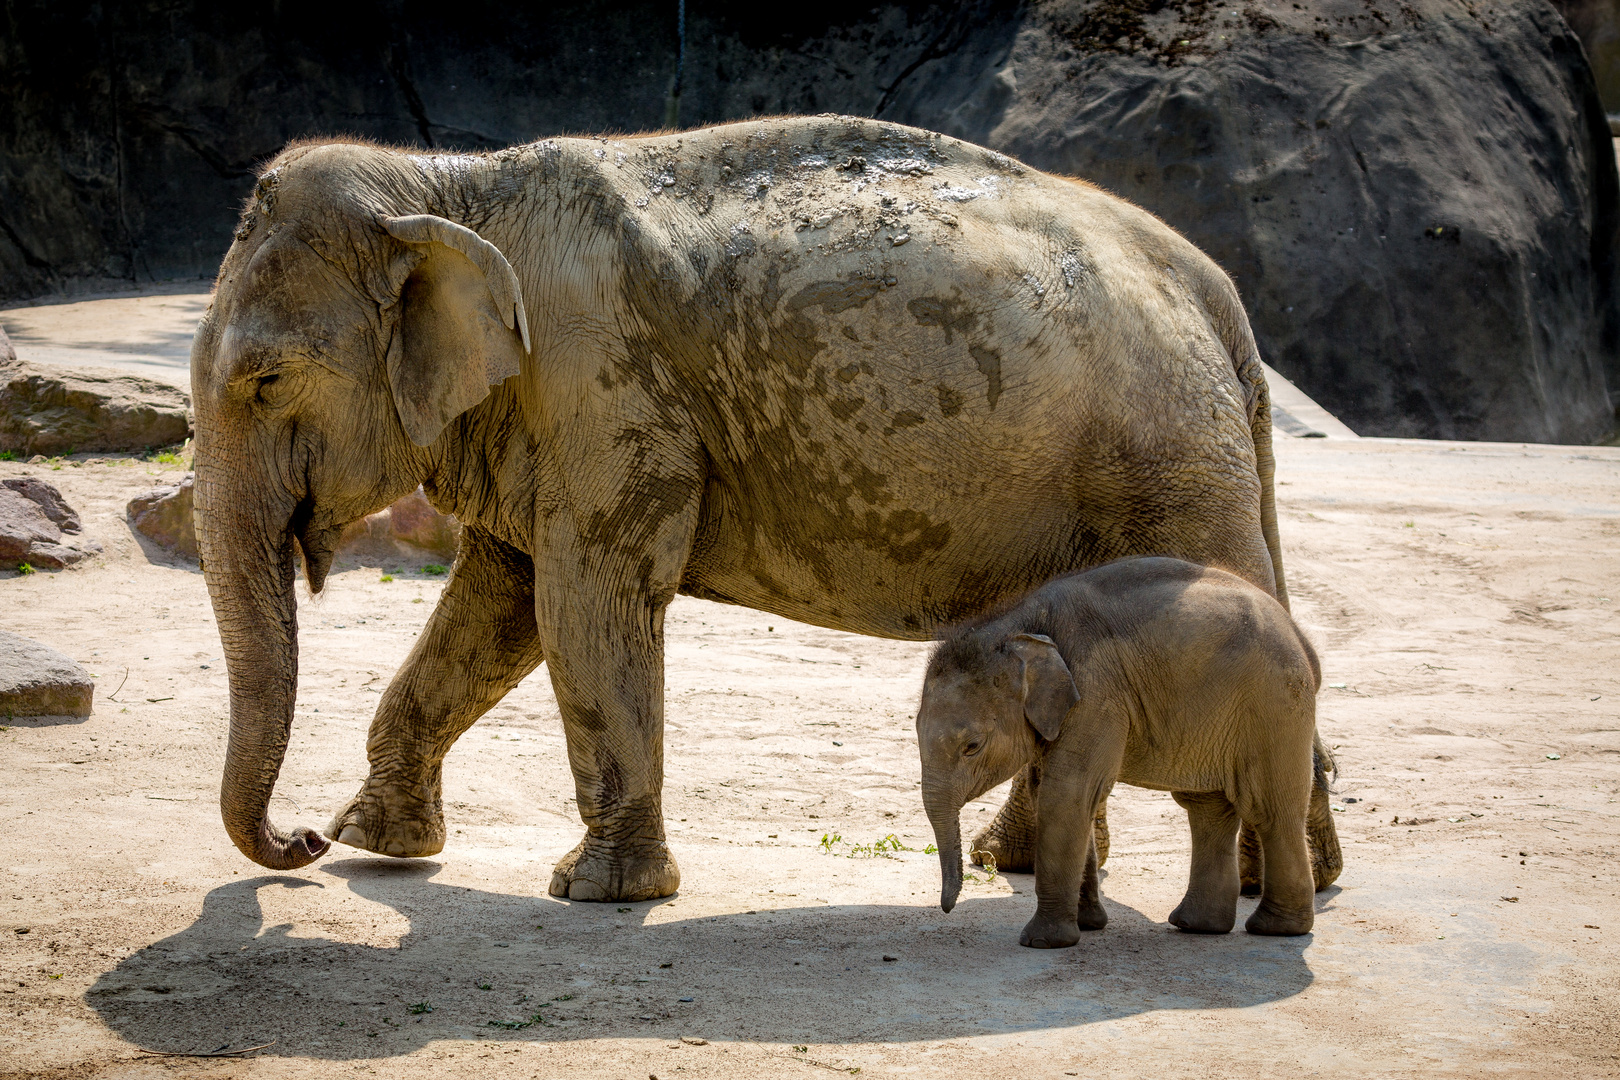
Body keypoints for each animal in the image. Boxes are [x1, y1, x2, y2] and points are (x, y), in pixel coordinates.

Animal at [189, 114, 1341, 900]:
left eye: (265, 381)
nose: (299, 842)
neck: (451, 186)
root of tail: (1215, 293)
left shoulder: (603, 383)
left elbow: (585, 597)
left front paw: (595, 892)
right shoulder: (544, 411)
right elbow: (498, 601)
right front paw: (379, 844)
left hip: (1164, 458)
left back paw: (1270, 891)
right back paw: (1062, 869)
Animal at [920, 557, 1321, 945]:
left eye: (972, 747)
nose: (946, 908)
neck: (1018, 624)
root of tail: (1299, 635)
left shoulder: (1097, 693)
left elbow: (1066, 794)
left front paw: (1043, 941)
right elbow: (1054, 793)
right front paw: (1088, 924)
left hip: (1275, 704)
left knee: (1269, 809)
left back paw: (1275, 929)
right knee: (1207, 808)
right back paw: (1197, 925)